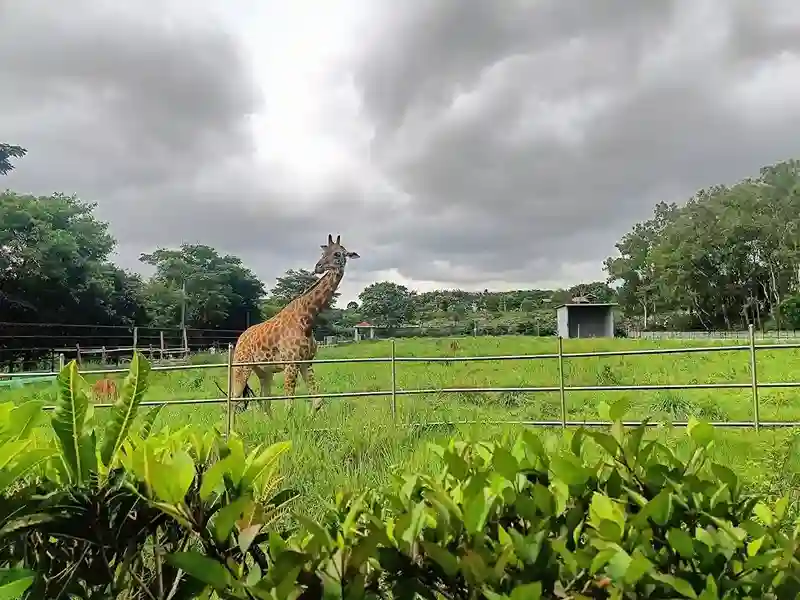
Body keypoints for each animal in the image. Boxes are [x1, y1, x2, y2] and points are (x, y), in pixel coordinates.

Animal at [228, 233, 360, 412]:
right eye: (323, 253)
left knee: (264, 402)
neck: (307, 319)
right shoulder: (291, 363)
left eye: (337, 254)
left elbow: (317, 402)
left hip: (264, 371)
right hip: (241, 366)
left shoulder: (305, 362)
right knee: (234, 401)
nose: (318, 267)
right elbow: (289, 405)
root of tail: (240, 339)